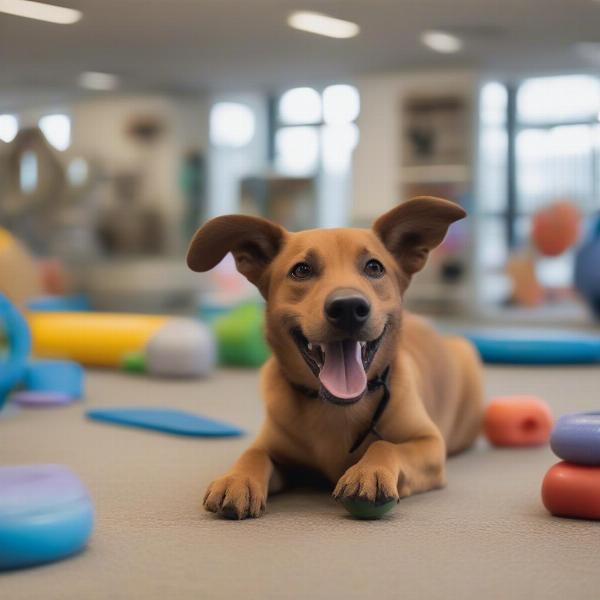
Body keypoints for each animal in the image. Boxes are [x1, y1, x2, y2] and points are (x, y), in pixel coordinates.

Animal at [188, 198, 482, 520]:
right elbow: (254, 452)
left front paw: (369, 472)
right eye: (302, 270)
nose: (348, 307)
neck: (338, 409)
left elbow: (386, 446)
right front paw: (238, 478)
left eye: (374, 267)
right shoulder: (276, 448)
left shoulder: (429, 444)